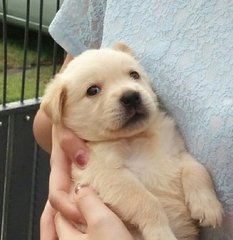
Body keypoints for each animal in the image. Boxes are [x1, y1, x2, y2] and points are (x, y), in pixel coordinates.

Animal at [41, 43, 224, 240]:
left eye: (134, 75)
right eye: (92, 90)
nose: (131, 96)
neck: (137, 137)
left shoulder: (176, 151)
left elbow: (197, 169)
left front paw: (207, 206)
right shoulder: (108, 174)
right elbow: (147, 201)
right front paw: (161, 233)